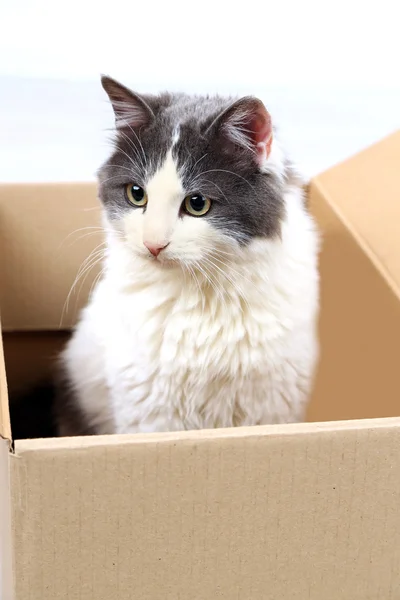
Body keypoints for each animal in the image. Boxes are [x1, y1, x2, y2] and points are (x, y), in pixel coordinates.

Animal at [54, 75, 320, 436]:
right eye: (136, 194)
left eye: (197, 204)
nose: (153, 244)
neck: (202, 294)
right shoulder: (150, 412)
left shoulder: (272, 407)